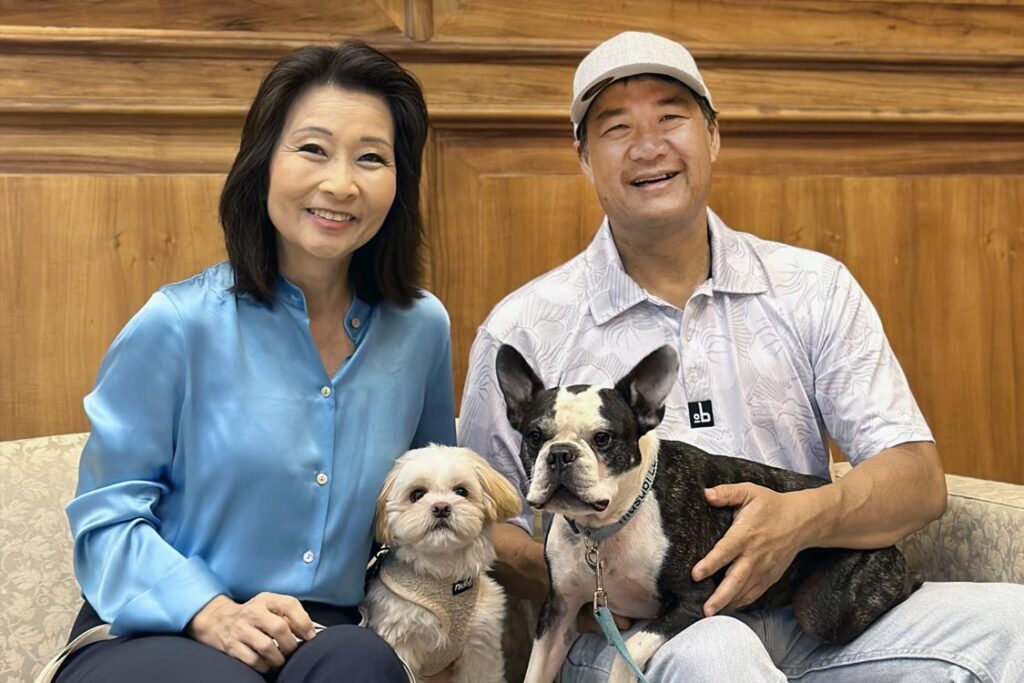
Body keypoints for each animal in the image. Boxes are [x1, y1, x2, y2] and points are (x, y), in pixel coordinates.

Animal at [362, 446, 520, 679]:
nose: (441, 507)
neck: (443, 573)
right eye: (417, 494)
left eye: (461, 491)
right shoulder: (402, 643)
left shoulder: (480, 646)